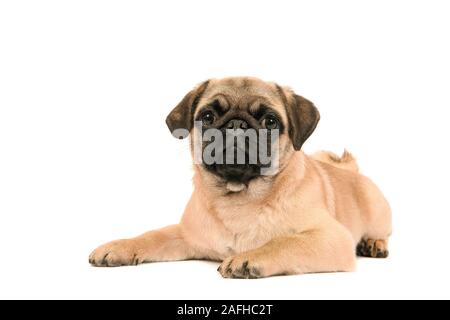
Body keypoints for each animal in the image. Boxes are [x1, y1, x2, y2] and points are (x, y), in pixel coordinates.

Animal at [89, 77, 390, 278]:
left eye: (270, 121)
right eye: (207, 116)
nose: (236, 124)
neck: (238, 198)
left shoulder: (330, 238)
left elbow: (284, 242)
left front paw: (248, 258)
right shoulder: (185, 235)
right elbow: (152, 236)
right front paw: (120, 247)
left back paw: (374, 243)